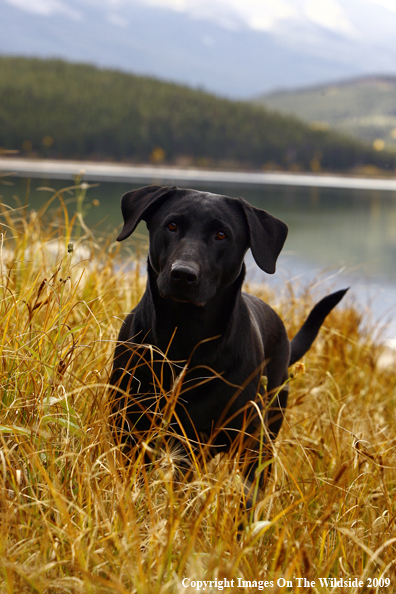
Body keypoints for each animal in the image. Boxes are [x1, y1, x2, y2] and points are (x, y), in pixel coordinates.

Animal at [110, 187, 346, 492]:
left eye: (221, 235)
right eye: (171, 226)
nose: (182, 274)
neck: (185, 334)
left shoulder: (222, 440)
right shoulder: (129, 426)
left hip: (264, 430)